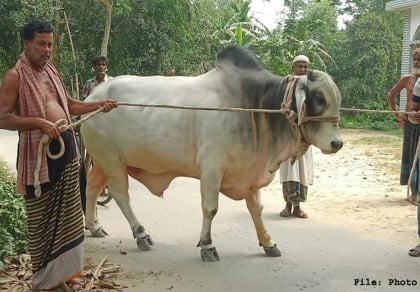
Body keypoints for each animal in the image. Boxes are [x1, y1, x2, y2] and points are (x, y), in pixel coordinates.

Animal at [81, 45, 342, 262]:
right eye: (319, 99)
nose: (337, 143)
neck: (253, 106)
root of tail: (93, 97)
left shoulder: (250, 171)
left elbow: (256, 209)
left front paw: (268, 243)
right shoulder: (211, 168)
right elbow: (211, 208)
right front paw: (207, 246)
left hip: (107, 162)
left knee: (92, 186)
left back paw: (94, 226)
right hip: (111, 161)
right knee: (121, 195)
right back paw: (141, 234)